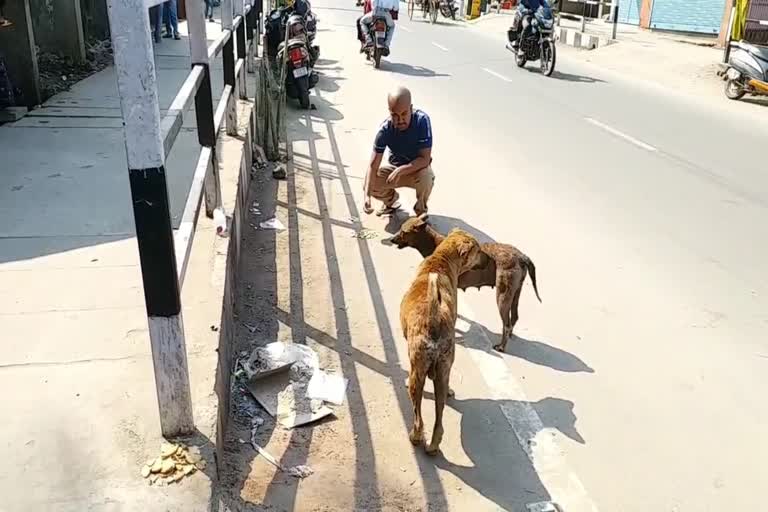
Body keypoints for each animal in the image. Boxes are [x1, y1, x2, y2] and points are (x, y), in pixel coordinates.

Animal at [390, 214, 540, 354]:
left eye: (403, 231)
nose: (391, 239)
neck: (436, 243)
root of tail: (521, 256)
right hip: (515, 292)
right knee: (514, 317)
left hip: (503, 296)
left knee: (507, 323)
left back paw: (502, 346)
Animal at [402, 228, 480, 456]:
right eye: (478, 250)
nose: (486, 257)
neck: (441, 259)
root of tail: (433, 319)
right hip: (443, 371)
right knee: (439, 420)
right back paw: (433, 444)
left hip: (418, 371)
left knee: (418, 417)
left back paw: (416, 437)